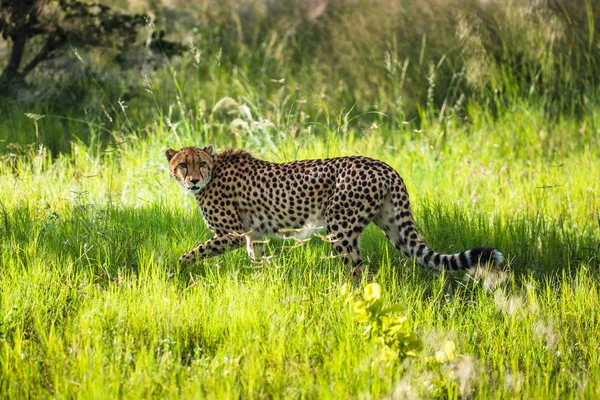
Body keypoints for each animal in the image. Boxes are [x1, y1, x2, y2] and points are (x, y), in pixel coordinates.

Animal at [164, 145, 502, 276]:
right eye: (183, 165)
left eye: (200, 164)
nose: (193, 180)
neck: (214, 172)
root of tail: (385, 167)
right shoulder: (252, 235)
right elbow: (257, 260)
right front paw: (262, 281)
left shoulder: (231, 234)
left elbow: (191, 253)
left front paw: (176, 269)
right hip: (393, 226)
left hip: (339, 227)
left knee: (359, 270)